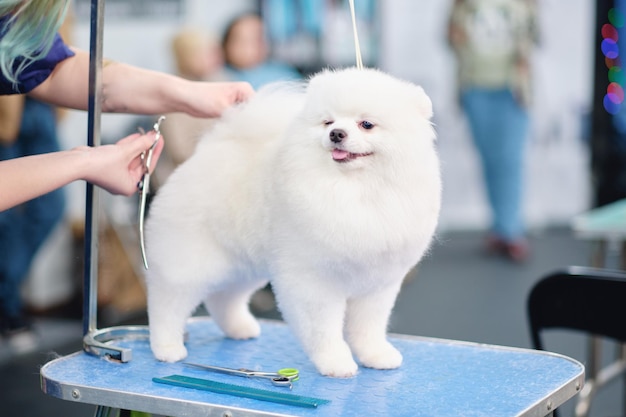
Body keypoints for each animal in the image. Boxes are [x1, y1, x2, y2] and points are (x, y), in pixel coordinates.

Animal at [144, 66, 442, 376]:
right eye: (328, 122)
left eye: (367, 124)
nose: (336, 134)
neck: (356, 190)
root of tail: (202, 155)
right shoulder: (314, 280)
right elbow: (324, 329)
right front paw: (335, 362)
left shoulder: (377, 283)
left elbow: (368, 328)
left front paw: (376, 355)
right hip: (188, 261)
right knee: (167, 304)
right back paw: (167, 348)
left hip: (243, 265)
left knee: (223, 298)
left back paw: (240, 328)